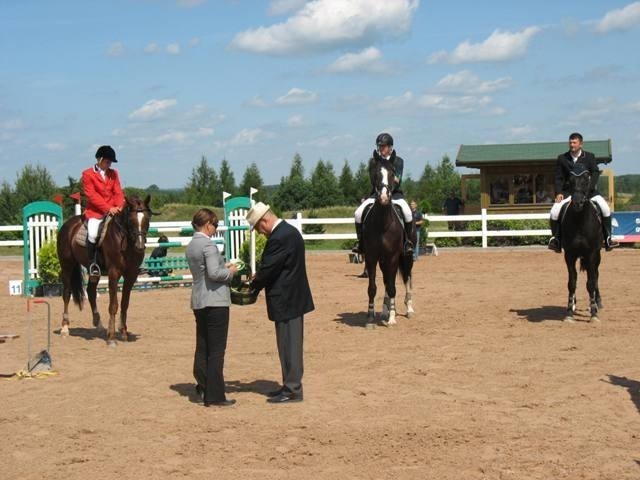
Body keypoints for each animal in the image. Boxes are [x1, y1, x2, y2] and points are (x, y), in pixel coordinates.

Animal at [56, 195, 152, 344]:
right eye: (131, 220)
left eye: (147, 219)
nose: (140, 246)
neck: (125, 240)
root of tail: (68, 224)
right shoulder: (114, 273)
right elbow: (113, 305)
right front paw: (111, 337)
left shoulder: (131, 275)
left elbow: (125, 303)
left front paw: (123, 332)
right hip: (67, 265)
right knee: (66, 293)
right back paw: (65, 328)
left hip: (94, 271)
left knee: (91, 292)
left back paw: (99, 325)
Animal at [360, 160, 416, 326]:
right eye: (376, 174)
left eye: (392, 174)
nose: (384, 198)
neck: (382, 223)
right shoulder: (371, 258)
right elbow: (372, 287)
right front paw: (370, 316)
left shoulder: (393, 257)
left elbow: (392, 287)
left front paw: (391, 318)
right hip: (384, 261)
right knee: (386, 280)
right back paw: (385, 310)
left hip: (406, 258)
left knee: (406, 278)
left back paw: (408, 309)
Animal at [564, 171, 604, 324]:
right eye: (569, 182)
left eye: (586, 182)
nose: (577, 202)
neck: (580, 220)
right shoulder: (569, 254)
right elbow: (572, 282)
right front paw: (569, 311)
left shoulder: (591, 253)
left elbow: (591, 283)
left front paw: (594, 313)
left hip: (597, 256)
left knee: (596, 276)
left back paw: (597, 303)